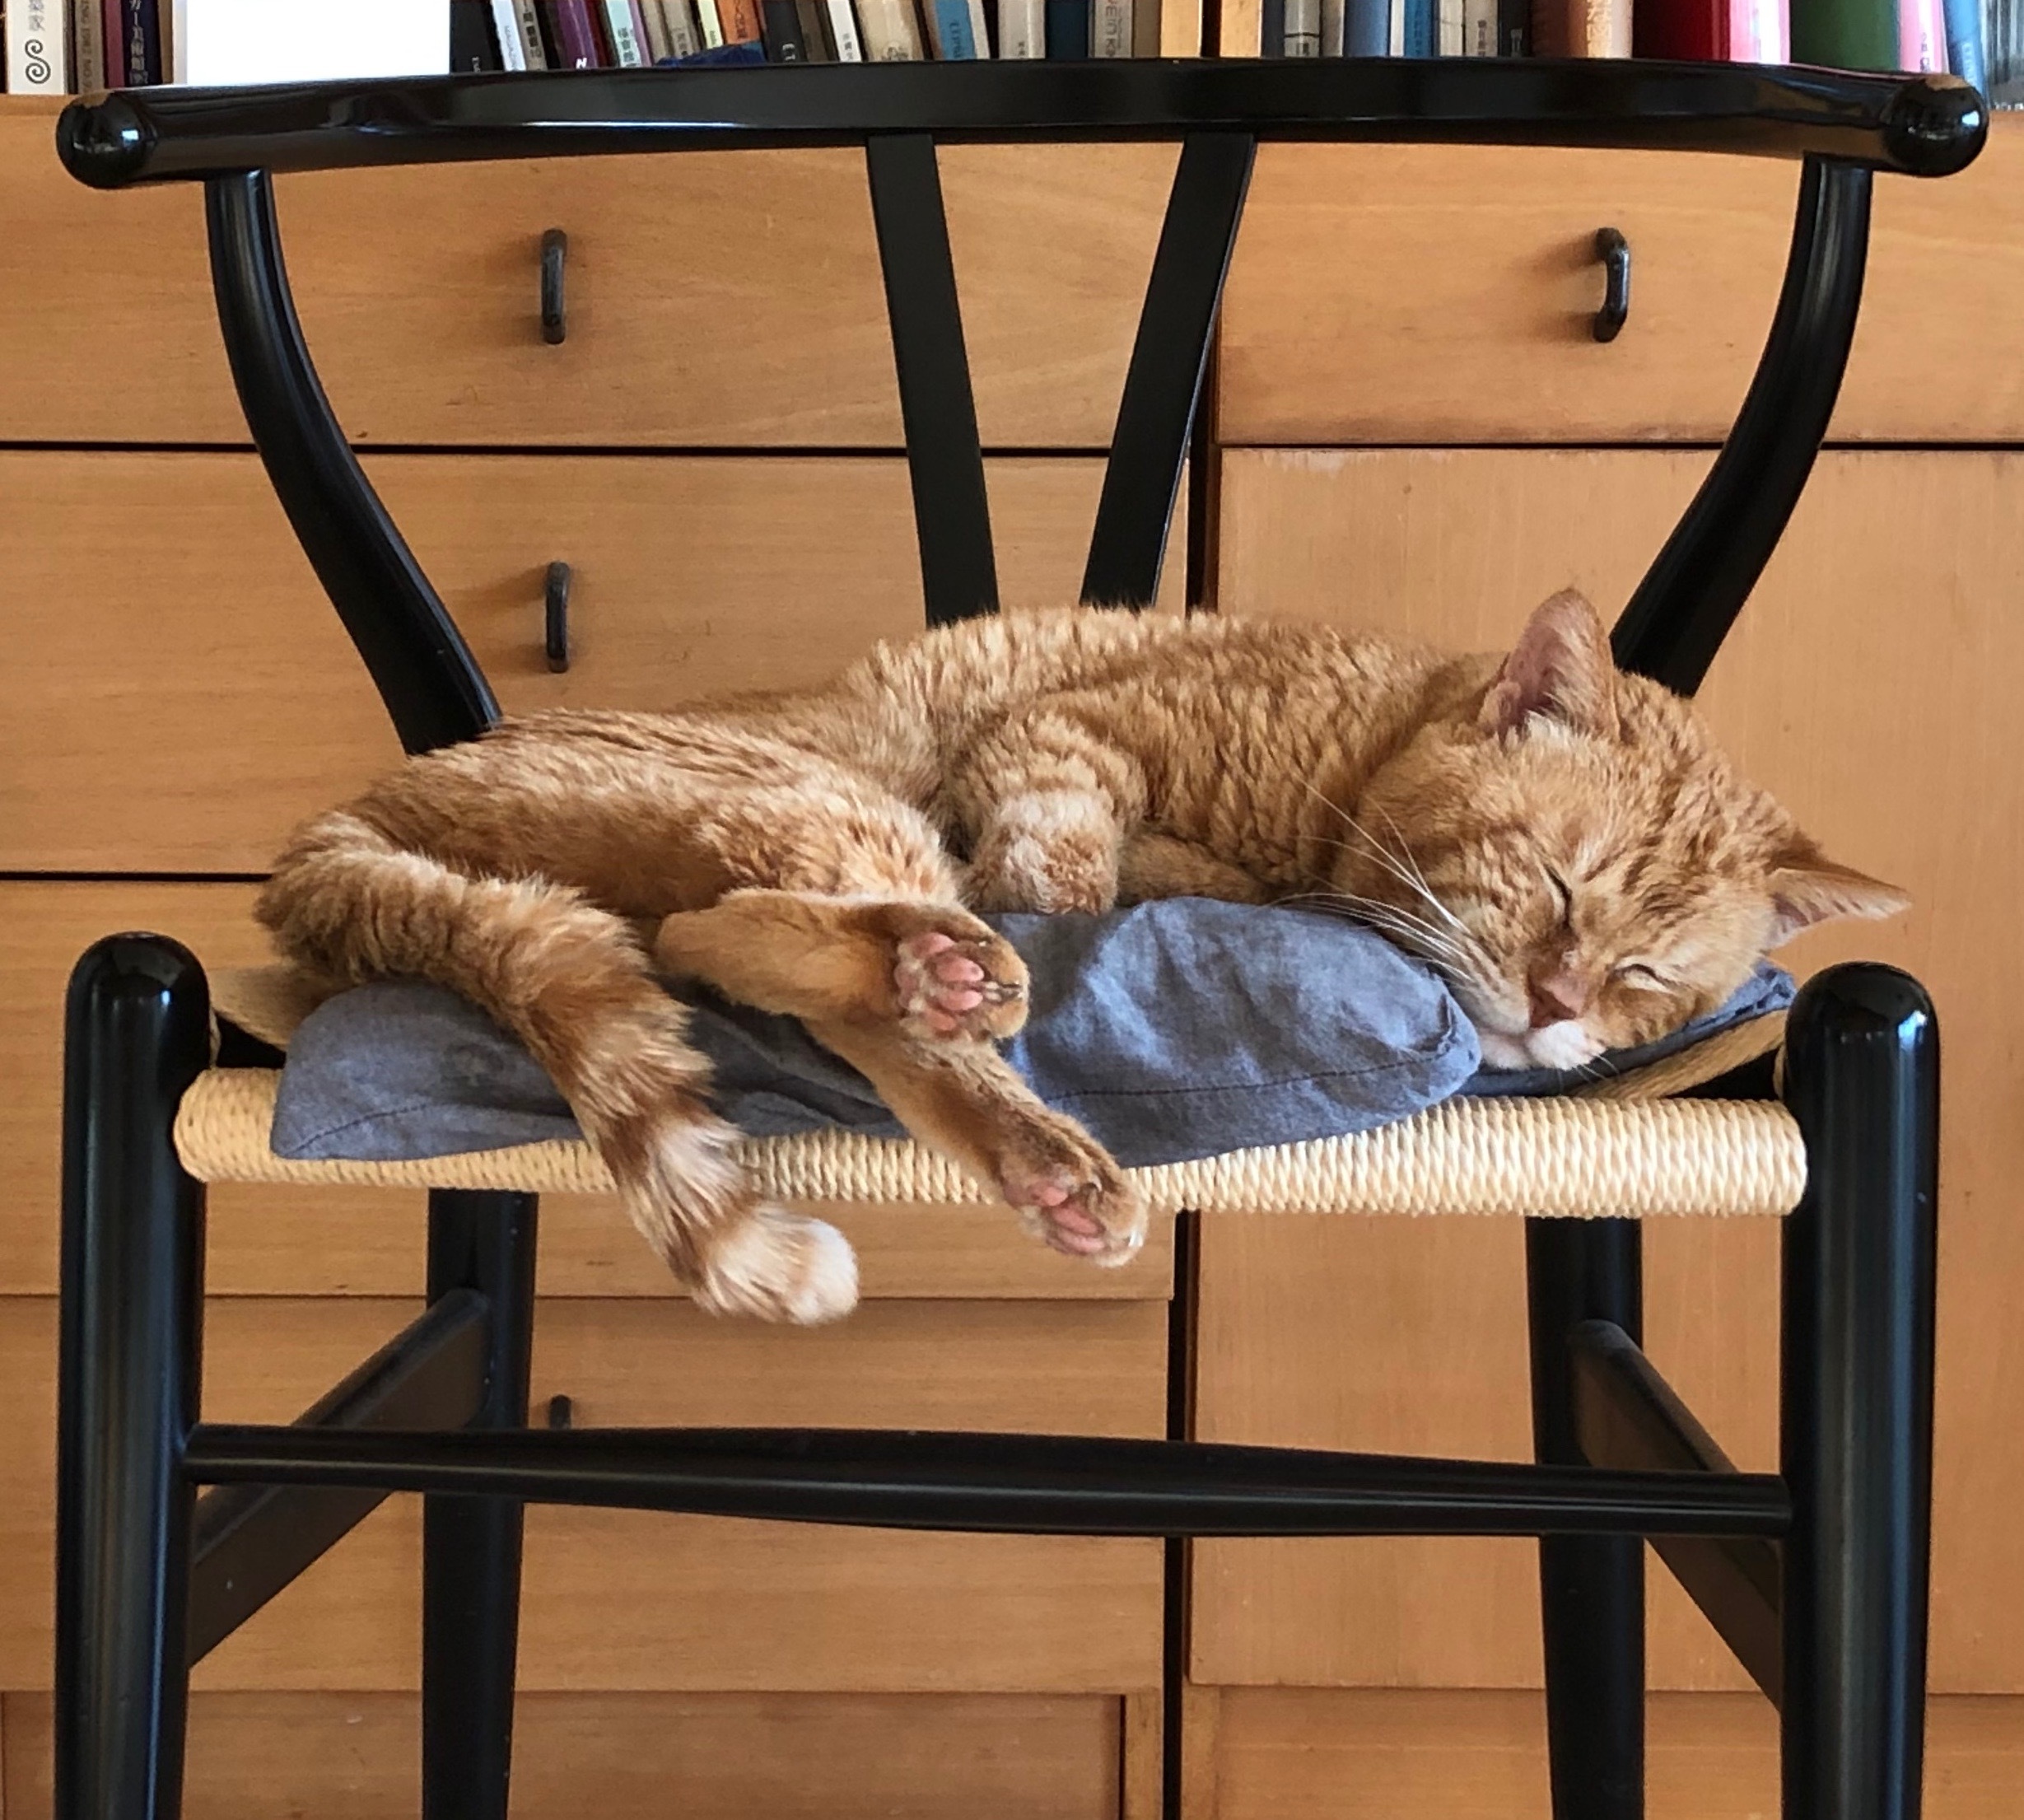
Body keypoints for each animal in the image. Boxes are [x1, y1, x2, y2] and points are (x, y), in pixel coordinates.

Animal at [257, 589, 1905, 1323]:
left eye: (1645, 980)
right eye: (1557, 887)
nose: (1559, 1006)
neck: (1359, 743)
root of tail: (321, 843)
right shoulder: (1061, 741)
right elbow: (1064, 863)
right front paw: (1097, 888)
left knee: (714, 946)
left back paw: (1015, 1118)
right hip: (814, 798)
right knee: (748, 934)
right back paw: (953, 976)